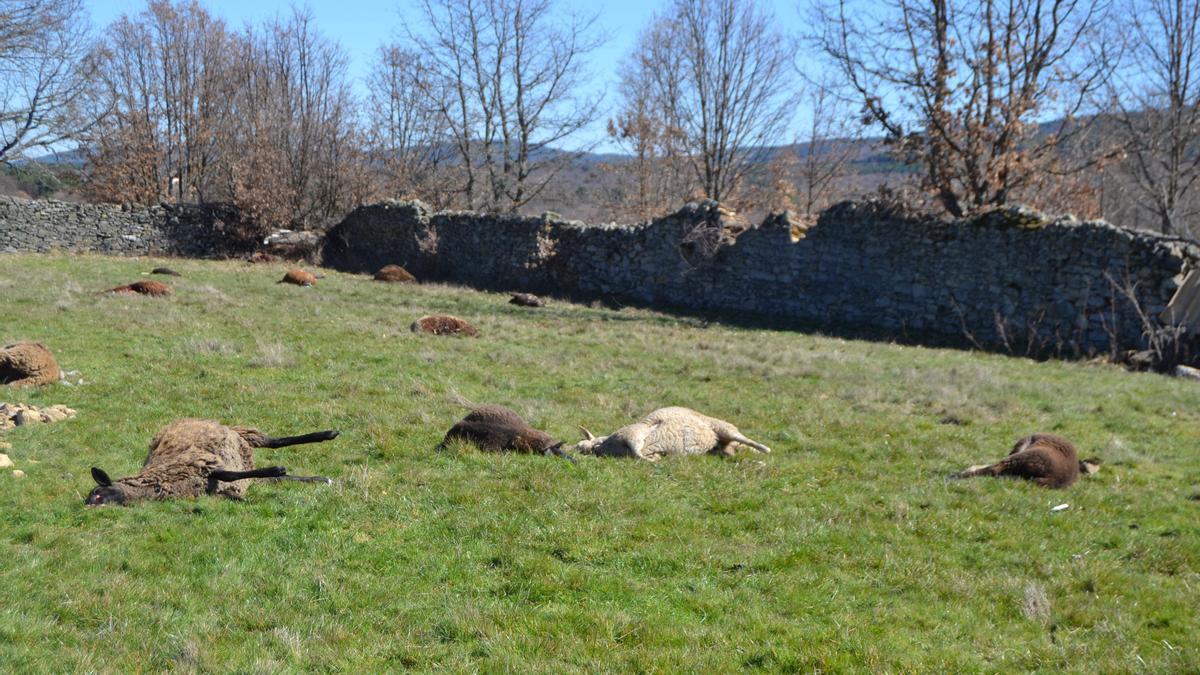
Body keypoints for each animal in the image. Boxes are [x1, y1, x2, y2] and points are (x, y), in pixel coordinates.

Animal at [85, 415, 340, 504]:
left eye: (96, 493)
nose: (87, 507)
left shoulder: (201, 462)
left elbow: (229, 474)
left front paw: (277, 467)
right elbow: (231, 478)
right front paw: (279, 471)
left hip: (242, 434)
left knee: (274, 441)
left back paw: (329, 434)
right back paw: (322, 479)